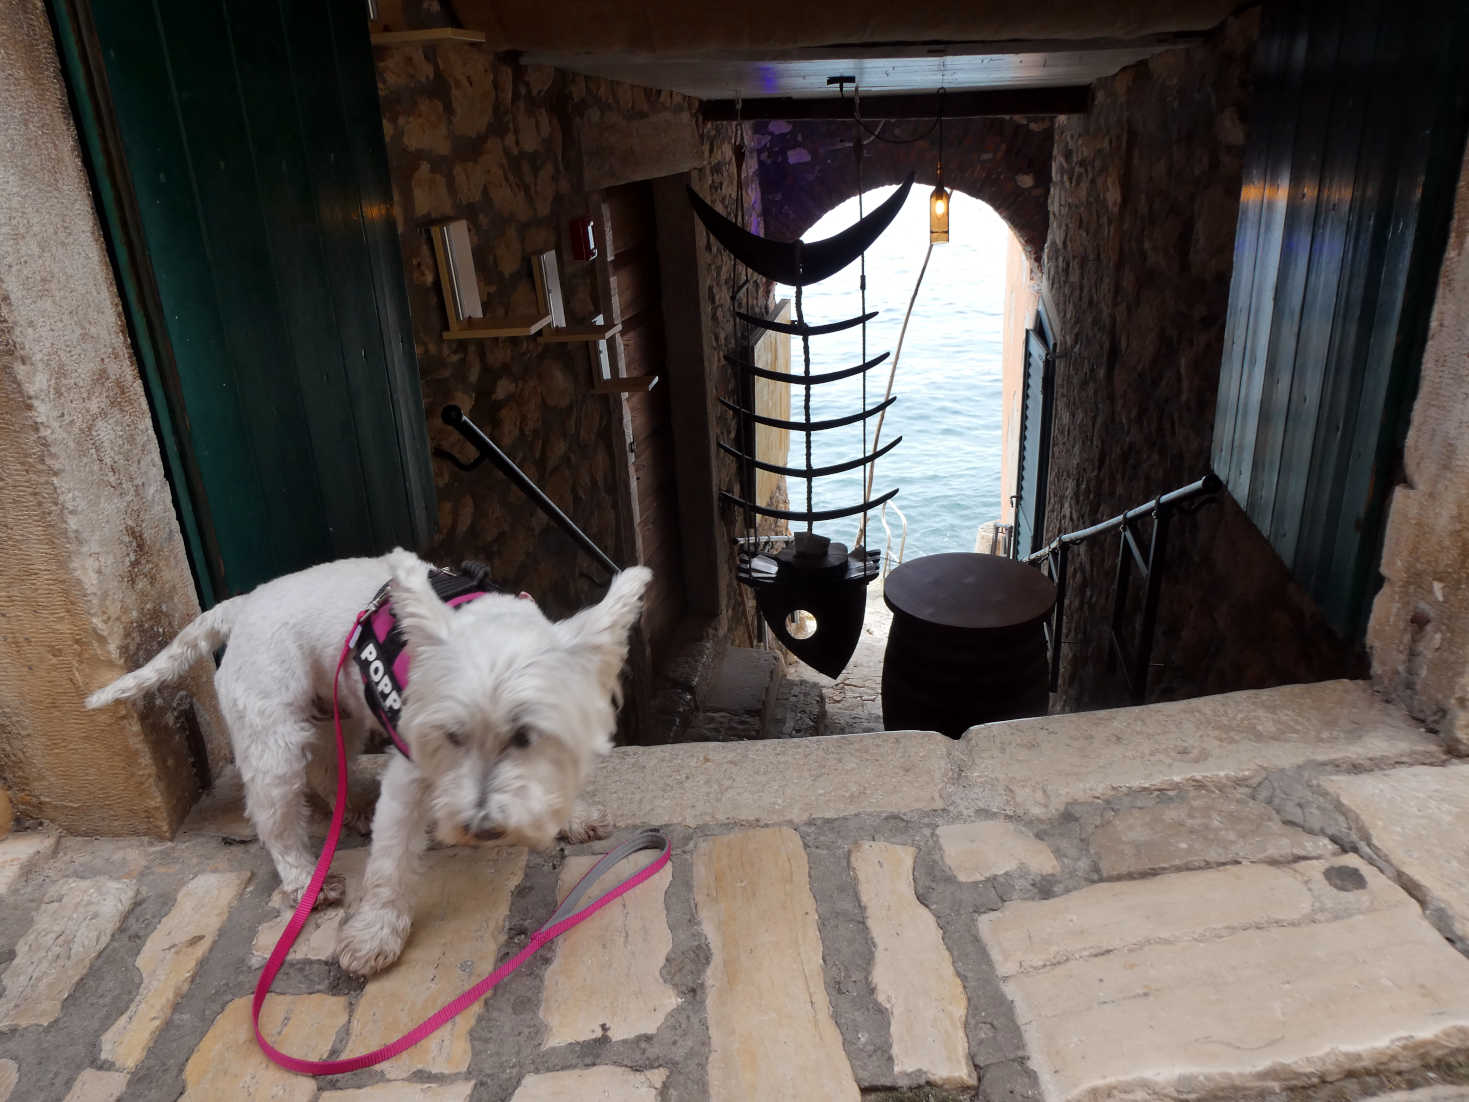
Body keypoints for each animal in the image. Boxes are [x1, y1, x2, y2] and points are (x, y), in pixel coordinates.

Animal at [85, 549, 649, 975]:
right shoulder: (410, 770)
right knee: (275, 816)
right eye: (451, 736)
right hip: (273, 737)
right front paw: (376, 936)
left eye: (528, 737)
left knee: (326, 767)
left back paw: (353, 805)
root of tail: (243, 604)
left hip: (336, 711)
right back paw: (304, 879)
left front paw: (573, 817)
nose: (482, 828)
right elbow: (390, 861)